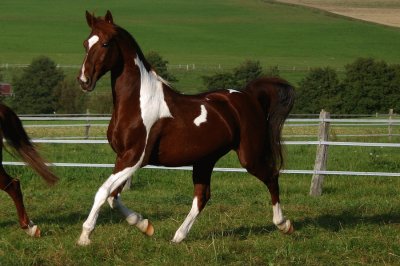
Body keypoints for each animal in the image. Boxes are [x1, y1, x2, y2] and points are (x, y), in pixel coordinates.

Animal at [76, 11, 296, 246]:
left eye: (106, 43)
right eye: (85, 43)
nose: (84, 81)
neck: (138, 102)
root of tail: (248, 96)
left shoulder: (134, 158)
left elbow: (103, 192)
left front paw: (85, 236)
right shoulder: (122, 158)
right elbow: (113, 198)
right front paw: (145, 225)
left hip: (250, 157)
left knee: (272, 177)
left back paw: (284, 225)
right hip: (205, 160)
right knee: (202, 197)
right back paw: (178, 237)